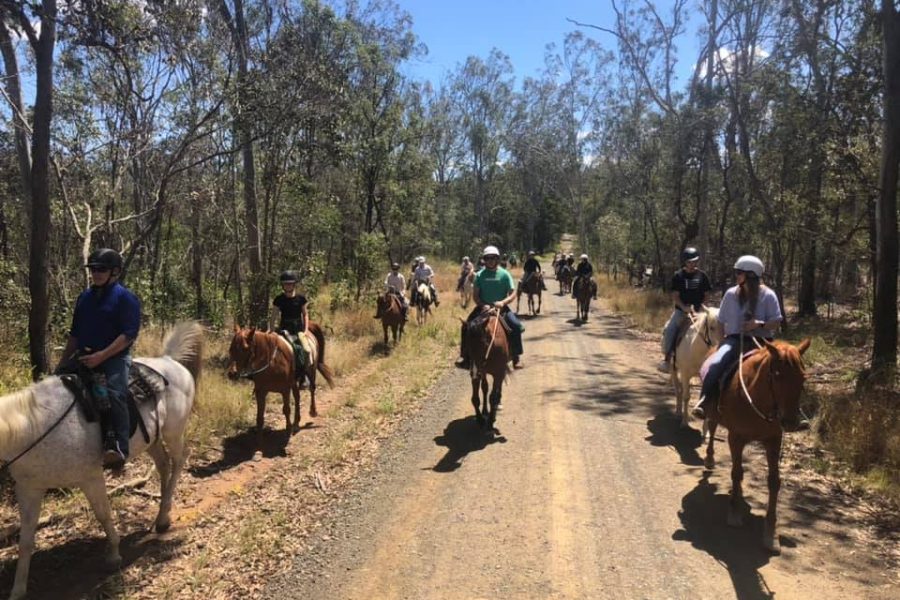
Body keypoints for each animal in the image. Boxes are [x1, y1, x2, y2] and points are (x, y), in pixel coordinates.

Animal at [0, 324, 204, 600]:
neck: (35, 428)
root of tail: (170, 361)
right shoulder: (29, 489)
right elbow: (25, 539)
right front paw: (18, 590)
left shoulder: (90, 477)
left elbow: (104, 515)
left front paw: (114, 555)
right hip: (151, 440)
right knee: (164, 466)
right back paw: (162, 514)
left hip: (173, 433)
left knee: (180, 461)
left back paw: (163, 519)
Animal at [704, 340, 816, 556]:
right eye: (778, 375)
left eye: (803, 377)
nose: (790, 422)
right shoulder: (735, 438)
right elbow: (737, 473)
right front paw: (734, 512)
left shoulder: (773, 440)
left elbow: (773, 482)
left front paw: (771, 533)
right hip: (713, 414)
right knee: (711, 428)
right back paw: (710, 459)